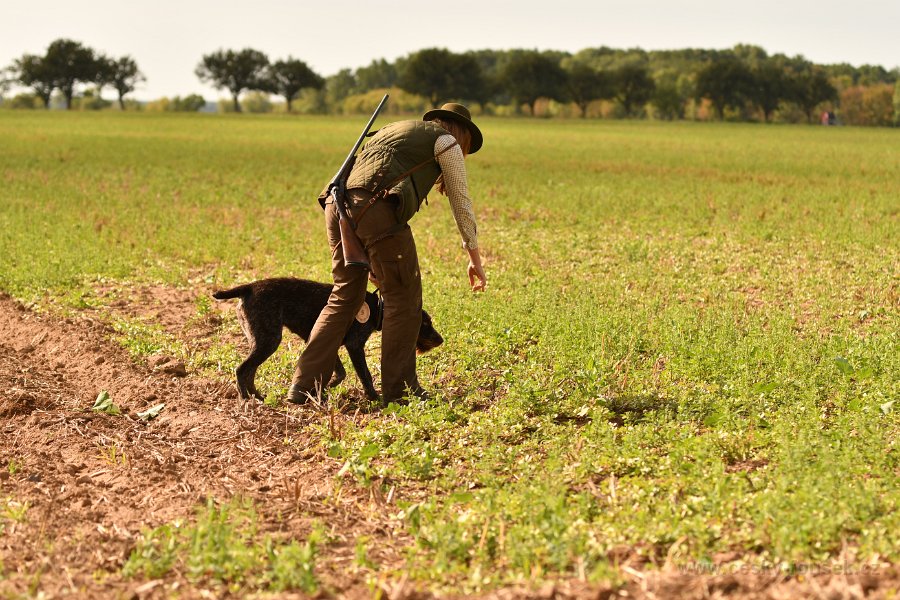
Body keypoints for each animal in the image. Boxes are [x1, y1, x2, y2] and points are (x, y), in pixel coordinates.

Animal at [215, 278, 446, 400]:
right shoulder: (354, 346)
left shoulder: (330, 342)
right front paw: (374, 397)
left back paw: (257, 396)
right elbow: (365, 375)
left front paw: (325, 388)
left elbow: (340, 373)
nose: (441, 340)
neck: (377, 308)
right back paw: (246, 399)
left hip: (263, 341)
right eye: (425, 324)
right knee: (242, 369)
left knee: (249, 371)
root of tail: (249, 287)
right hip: (268, 340)